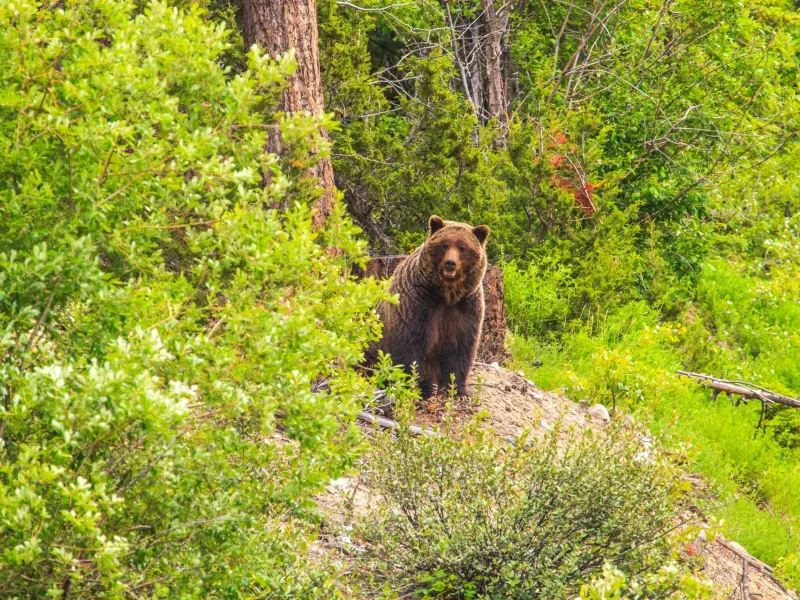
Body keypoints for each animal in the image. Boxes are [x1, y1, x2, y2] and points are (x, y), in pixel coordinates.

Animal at [366, 215, 490, 399]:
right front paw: (423, 386)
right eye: (445, 244)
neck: (446, 294)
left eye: (463, 247)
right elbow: (409, 346)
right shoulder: (417, 302)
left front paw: (457, 389)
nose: (450, 263)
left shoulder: (466, 308)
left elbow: (461, 347)